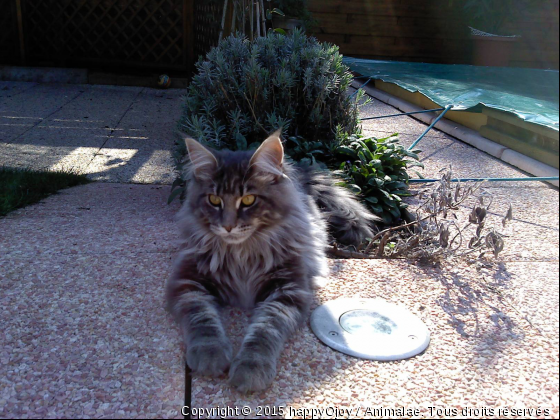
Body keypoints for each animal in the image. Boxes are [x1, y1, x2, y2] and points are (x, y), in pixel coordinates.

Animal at [166, 131, 376, 394]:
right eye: (214, 200)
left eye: (248, 200)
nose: (228, 226)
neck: (241, 255)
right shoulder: (186, 281)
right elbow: (202, 319)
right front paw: (209, 354)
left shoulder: (288, 290)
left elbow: (265, 330)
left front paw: (251, 370)